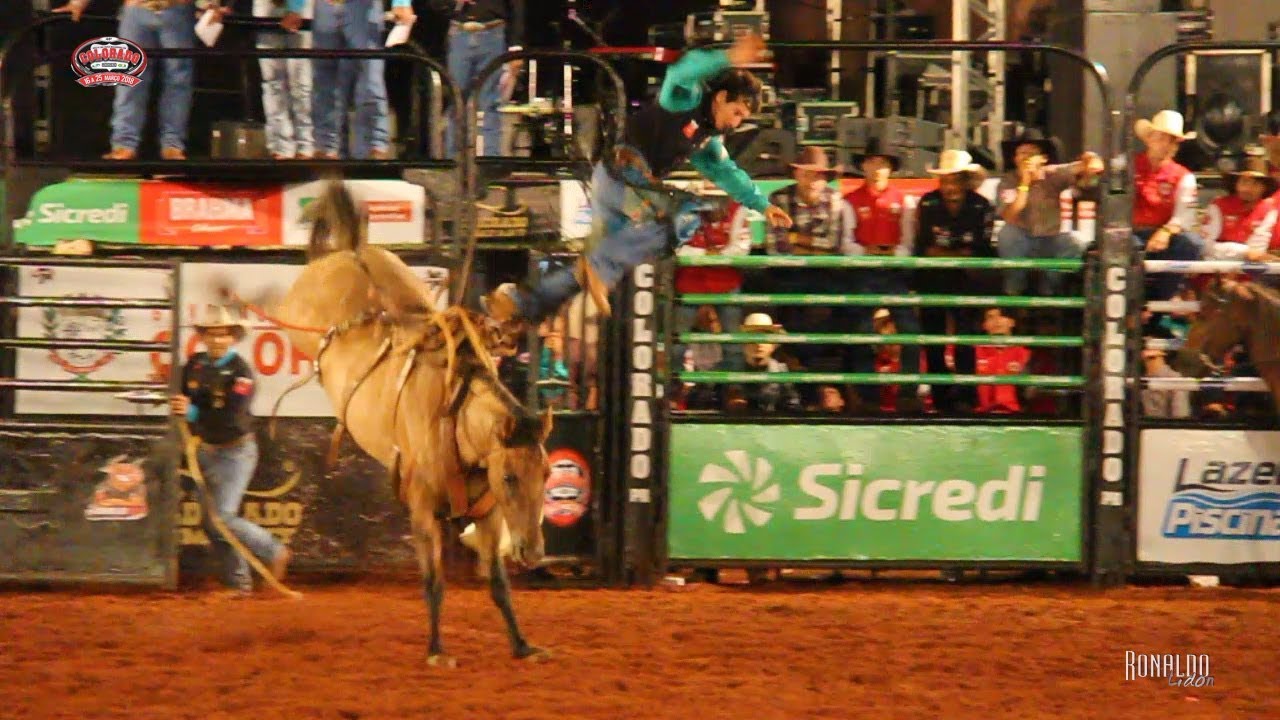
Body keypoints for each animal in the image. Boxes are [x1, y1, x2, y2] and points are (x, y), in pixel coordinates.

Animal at [249, 178, 550, 661]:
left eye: (546, 473)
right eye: (509, 478)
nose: (533, 553)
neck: (458, 421)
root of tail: (352, 250)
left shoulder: (488, 516)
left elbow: (499, 585)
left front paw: (522, 646)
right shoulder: (423, 511)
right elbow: (434, 583)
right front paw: (436, 650)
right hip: (296, 315)